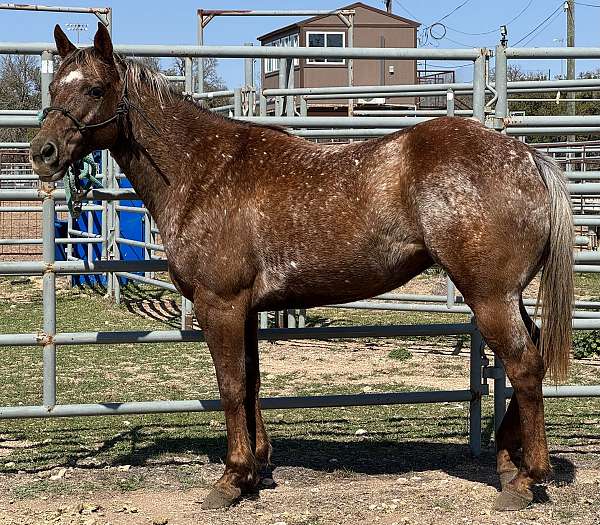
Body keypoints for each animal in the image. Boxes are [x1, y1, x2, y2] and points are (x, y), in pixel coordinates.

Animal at [30, 22, 576, 510]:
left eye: (95, 88)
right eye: (54, 87)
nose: (43, 153)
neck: (202, 170)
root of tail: (528, 157)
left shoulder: (219, 305)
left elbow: (230, 386)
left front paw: (231, 479)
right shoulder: (245, 309)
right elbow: (251, 382)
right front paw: (256, 469)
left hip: (489, 295)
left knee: (525, 365)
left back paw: (527, 480)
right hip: (506, 296)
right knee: (533, 356)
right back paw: (508, 461)